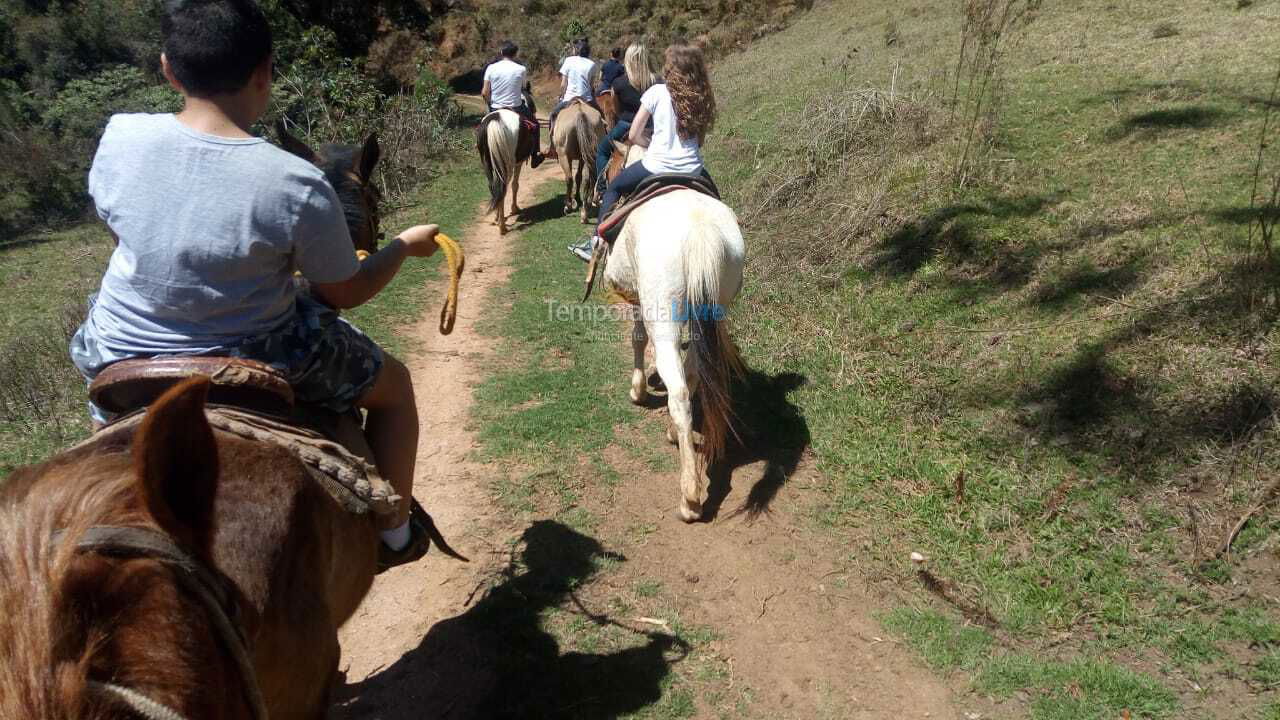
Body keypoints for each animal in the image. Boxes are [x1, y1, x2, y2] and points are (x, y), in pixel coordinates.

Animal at [481, 85, 540, 234]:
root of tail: (495, 120)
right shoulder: (518, 163)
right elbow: (515, 185)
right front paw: (514, 209)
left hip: (488, 164)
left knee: (494, 188)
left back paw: (497, 219)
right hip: (506, 165)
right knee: (503, 189)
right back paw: (502, 226)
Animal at [601, 149, 747, 520]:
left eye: (608, 171)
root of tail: (700, 230)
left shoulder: (638, 299)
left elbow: (638, 338)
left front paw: (638, 390)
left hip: (664, 313)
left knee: (679, 388)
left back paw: (690, 496)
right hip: (712, 308)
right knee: (692, 369)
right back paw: (673, 433)